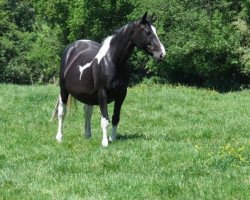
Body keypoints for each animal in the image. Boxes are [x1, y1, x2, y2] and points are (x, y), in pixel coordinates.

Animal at [52, 12, 166, 147]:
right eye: (147, 32)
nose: (162, 54)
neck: (112, 61)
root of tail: (71, 48)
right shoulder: (103, 94)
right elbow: (105, 120)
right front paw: (105, 142)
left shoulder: (121, 94)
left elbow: (115, 117)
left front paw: (113, 138)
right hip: (63, 89)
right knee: (61, 112)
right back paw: (59, 137)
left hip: (87, 95)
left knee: (87, 112)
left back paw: (88, 135)